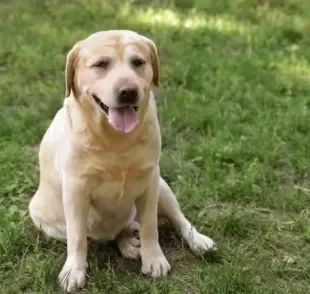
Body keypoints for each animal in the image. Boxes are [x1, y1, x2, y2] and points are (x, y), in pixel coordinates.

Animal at [29, 29, 216, 292]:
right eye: (100, 64)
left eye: (138, 62)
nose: (128, 91)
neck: (115, 139)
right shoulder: (75, 189)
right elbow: (77, 238)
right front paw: (74, 270)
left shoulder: (149, 182)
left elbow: (150, 227)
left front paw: (154, 259)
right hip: (43, 219)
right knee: (104, 234)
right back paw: (127, 243)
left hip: (162, 186)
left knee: (179, 220)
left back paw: (195, 240)